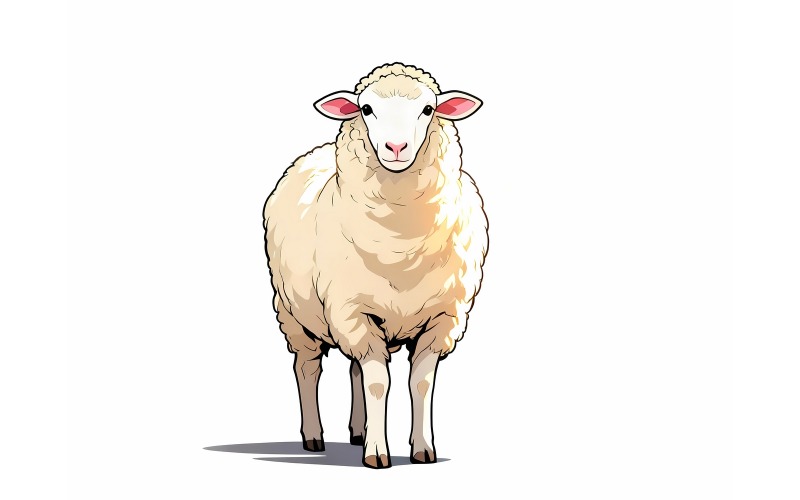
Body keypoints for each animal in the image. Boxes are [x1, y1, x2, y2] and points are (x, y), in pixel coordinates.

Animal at [263, 63, 487, 469]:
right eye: (366, 109)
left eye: (428, 109)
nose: (396, 148)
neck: (400, 245)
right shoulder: (353, 311)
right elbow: (379, 383)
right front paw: (377, 453)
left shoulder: (442, 317)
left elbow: (419, 382)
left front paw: (422, 449)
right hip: (295, 313)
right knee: (307, 368)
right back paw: (314, 437)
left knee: (354, 368)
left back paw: (357, 431)